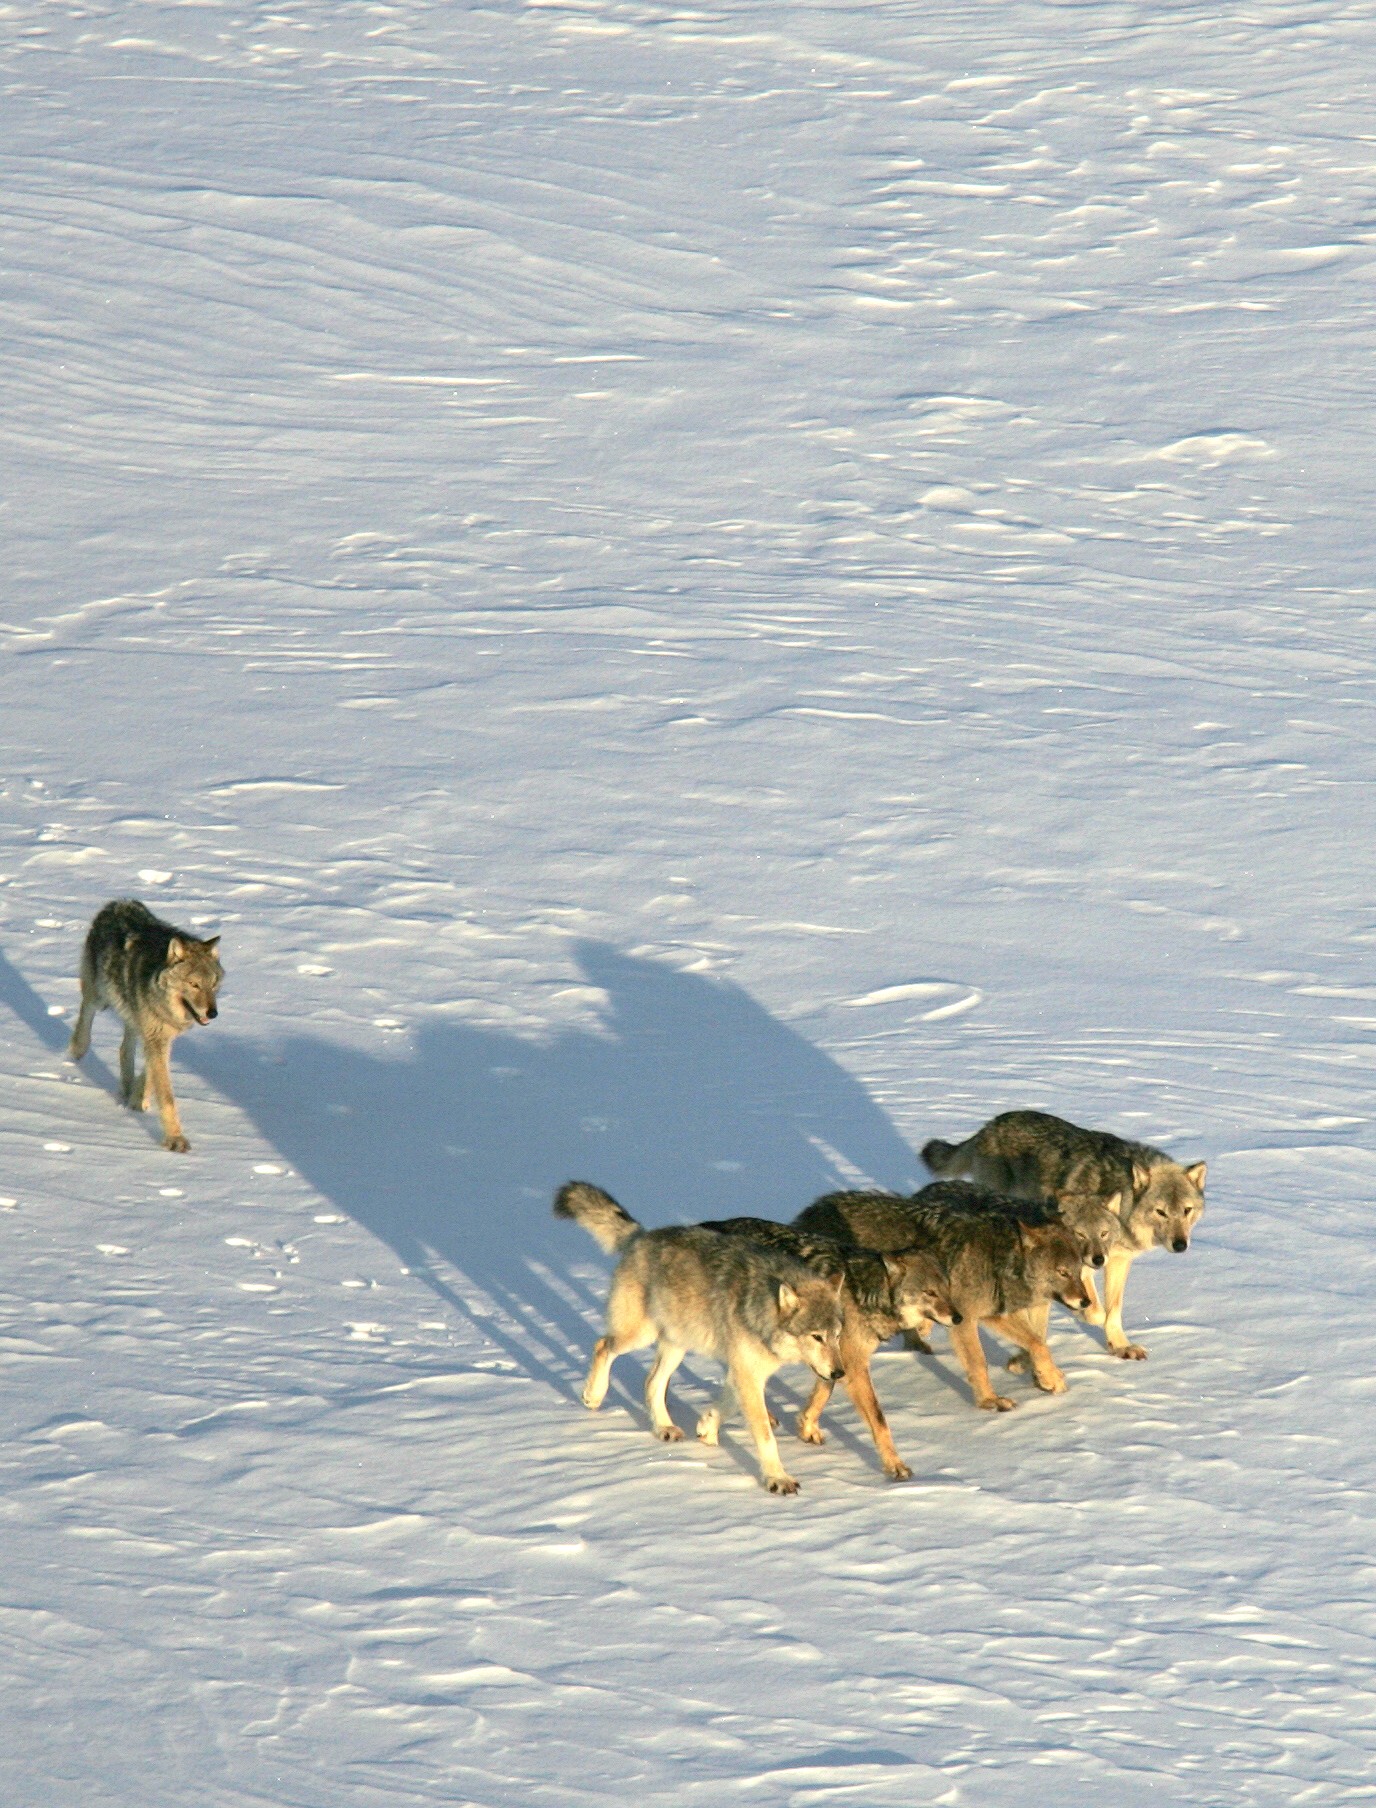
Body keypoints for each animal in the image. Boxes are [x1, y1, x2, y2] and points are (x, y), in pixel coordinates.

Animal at [68, 899, 223, 1152]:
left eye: (213, 984)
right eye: (194, 984)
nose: (213, 1013)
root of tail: (118, 902)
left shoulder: (162, 1037)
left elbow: (150, 1074)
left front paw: (137, 1100)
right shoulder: (155, 1037)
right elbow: (167, 1095)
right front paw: (175, 1139)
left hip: (131, 1014)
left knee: (124, 1049)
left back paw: (127, 1091)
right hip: (99, 997)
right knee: (85, 1015)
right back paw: (76, 1051)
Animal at [554, 1182, 845, 1494]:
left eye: (837, 1335)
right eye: (817, 1337)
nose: (839, 1373)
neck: (760, 1307)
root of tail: (642, 1236)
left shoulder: (743, 1371)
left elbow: (727, 1405)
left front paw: (707, 1428)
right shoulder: (748, 1373)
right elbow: (766, 1436)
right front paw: (777, 1479)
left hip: (677, 1345)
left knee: (651, 1382)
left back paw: (664, 1428)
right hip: (641, 1335)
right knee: (602, 1346)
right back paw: (593, 1396)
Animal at [699, 1217, 959, 1481]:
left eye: (947, 1288)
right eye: (930, 1292)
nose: (958, 1318)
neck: (865, 1295)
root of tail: (713, 1224)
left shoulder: (834, 1360)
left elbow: (823, 1393)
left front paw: (807, 1427)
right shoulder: (853, 1365)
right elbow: (879, 1420)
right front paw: (895, 1465)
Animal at [795, 1182, 1092, 1411]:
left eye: (1078, 1270)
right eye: (1062, 1272)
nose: (1086, 1302)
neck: (997, 1258)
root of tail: (809, 1212)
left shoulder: (989, 1313)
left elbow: (1037, 1342)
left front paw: (1048, 1378)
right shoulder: (967, 1318)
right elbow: (980, 1363)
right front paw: (990, 1401)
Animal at [922, 1110, 1206, 1359]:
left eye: (1186, 1210)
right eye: (1161, 1212)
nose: (1180, 1244)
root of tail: (991, 1124)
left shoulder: (1117, 1261)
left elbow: (1114, 1310)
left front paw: (1120, 1346)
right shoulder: (1082, 1263)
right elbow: (1097, 1312)